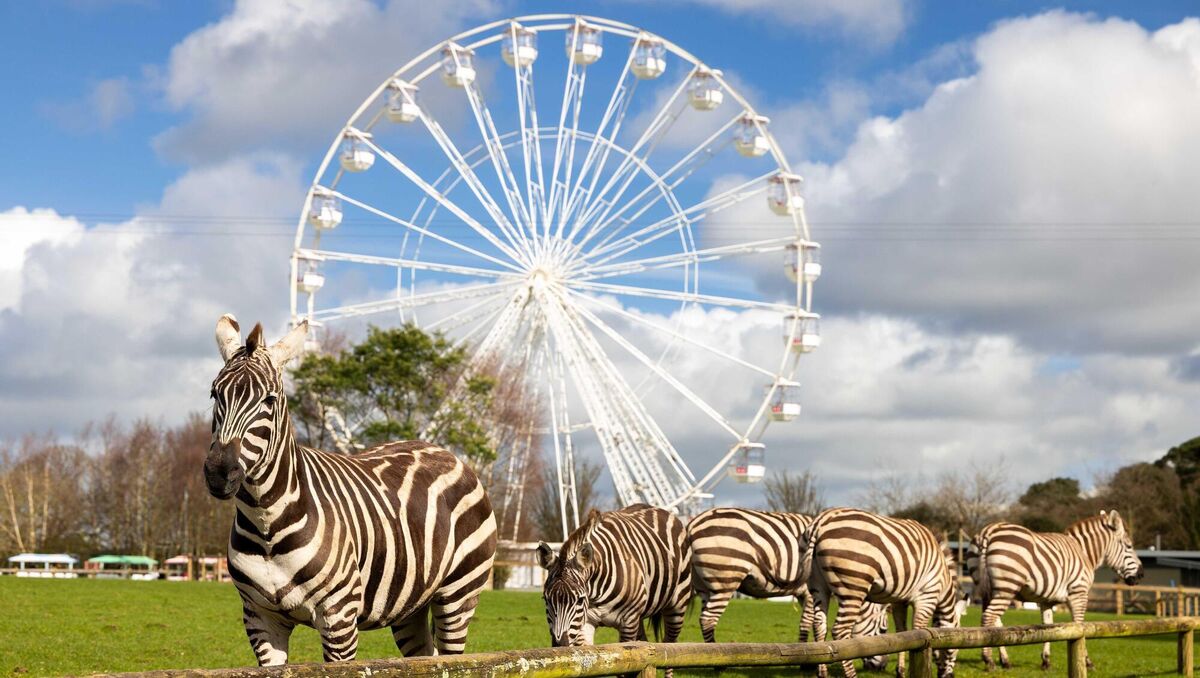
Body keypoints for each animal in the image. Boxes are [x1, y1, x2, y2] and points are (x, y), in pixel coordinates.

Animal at [207, 315, 497, 665]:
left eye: (269, 400)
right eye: (214, 395)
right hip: (410, 605)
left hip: (458, 594)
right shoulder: (260, 618)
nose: (219, 473)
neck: (266, 525)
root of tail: (444, 451)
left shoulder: (339, 618)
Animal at [537, 504, 692, 651]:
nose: (560, 645)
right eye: (546, 599)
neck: (596, 591)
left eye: (580, 600)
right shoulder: (584, 623)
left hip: (677, 605)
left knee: (670, 642)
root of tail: (659, 509)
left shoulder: (629, 623)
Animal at [687, 507, 889, 672]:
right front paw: (808, 663)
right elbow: (808, 623)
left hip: (704, 588)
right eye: (883, 631)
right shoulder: (810, 593)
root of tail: (692, 525)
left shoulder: (803, 594)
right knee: (708, 619)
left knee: (704, 618)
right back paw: (718, 664)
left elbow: (807, 623)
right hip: (725, 581)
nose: (881, 668)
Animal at [802, 507, 964, 678]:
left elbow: (903, 633)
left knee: (819, 626)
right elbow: (919, 631)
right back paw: (852, 675)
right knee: (840, 630)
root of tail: (820, 521)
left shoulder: (899, 601)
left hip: (818, 587)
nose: (950, 676)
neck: (944, 579)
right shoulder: (927, 596)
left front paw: (900, 671)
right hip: (854, 587)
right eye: (954, 650)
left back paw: (822, 673)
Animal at [970, 510, 1143, 670]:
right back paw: (988, 660)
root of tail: (988, 531)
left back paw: (1005, 661)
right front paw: (1087, 662)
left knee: (994, 621)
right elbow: (1080, 626)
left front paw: (1046, 661)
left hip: (989, 588)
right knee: (988, 617)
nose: (1141, 575)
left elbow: (1048, 626)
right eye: (1129, 546)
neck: (1084, 552)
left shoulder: (1045, 600)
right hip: (1007, 587)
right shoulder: (1079, 593)